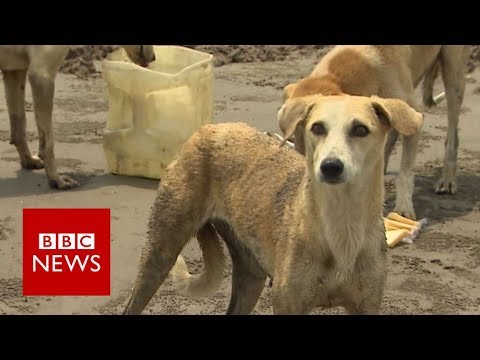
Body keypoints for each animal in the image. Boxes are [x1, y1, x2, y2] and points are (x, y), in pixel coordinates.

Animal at [0, 45, 154, 188]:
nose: (154, 58)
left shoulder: (14, 71)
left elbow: (19, 125)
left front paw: (28, 161)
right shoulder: (41, 76)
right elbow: (48, 144)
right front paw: (56, 180)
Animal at [122, 93, 422, 316]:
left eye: (360, 129)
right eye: (317, 127)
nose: (330, 167)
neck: (340, 229)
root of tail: (209, 128)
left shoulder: (366, 304)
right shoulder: (288, 303)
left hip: (250, 274)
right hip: (160, 252)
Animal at [280, 45, 470, 219]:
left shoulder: (414, 121)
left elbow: (405, 174)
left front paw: (403, 209)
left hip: (453, 73)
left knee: (452, 134)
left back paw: (447, 179)